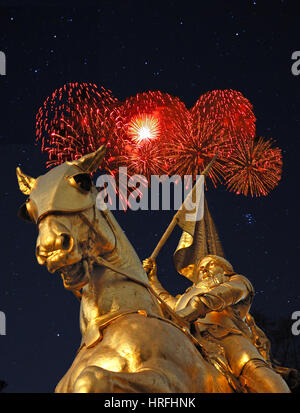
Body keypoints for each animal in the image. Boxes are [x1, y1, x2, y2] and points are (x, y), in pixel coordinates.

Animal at [15, 146, 234, 392]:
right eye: (26, 209)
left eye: (82, 181)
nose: (52, 249)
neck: (106, 322)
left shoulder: (169, 382)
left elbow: (90, 377)